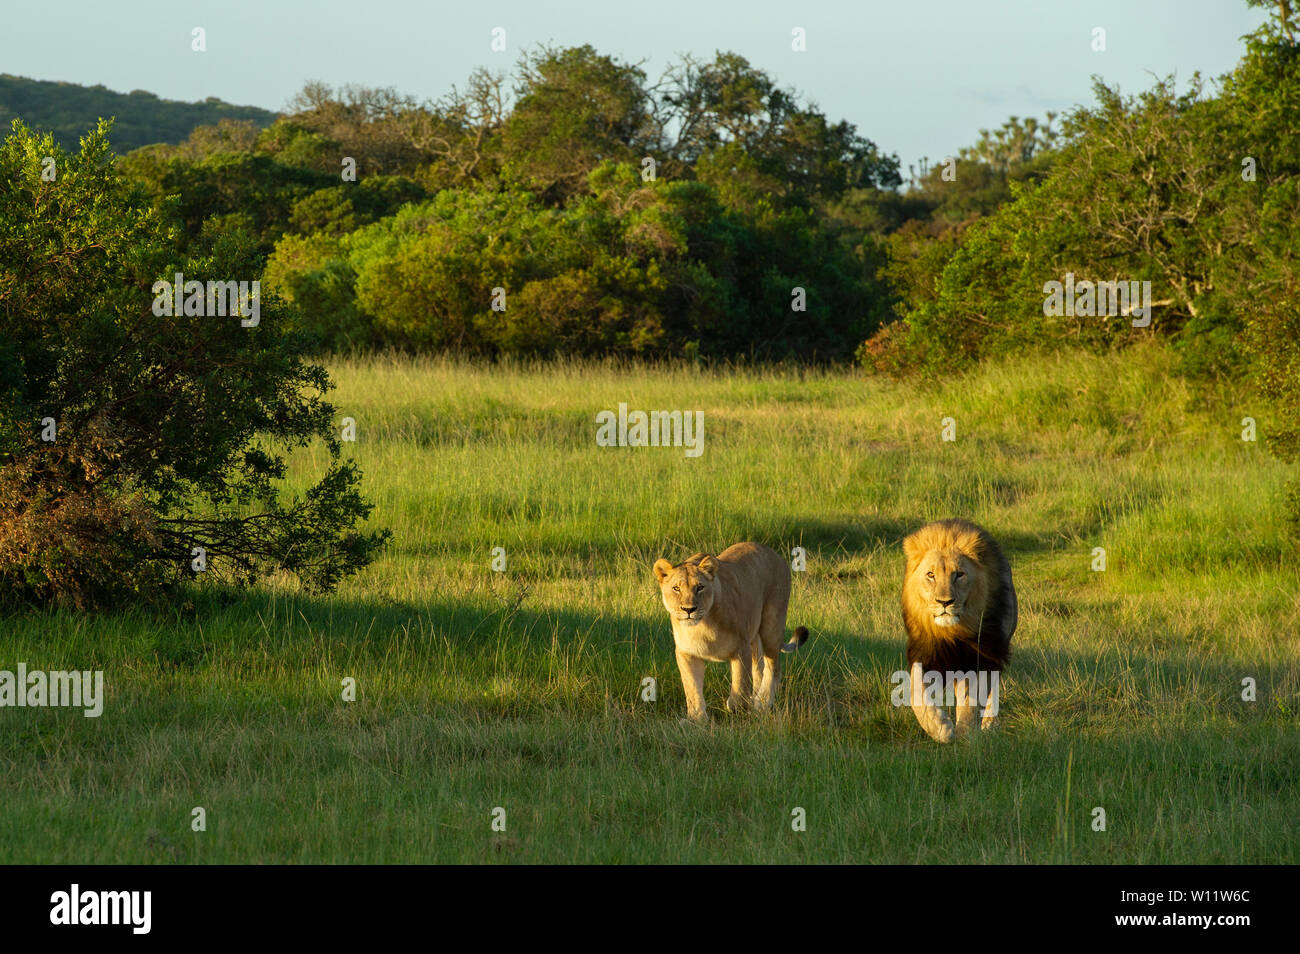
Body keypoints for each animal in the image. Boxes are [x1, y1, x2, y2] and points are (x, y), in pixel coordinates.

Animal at [653, 542, 809, 722]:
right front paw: (697, 719)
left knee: (773, 668)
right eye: (676, 588)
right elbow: (692, 689)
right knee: (759, 668)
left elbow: (740, 686)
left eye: (700, 587)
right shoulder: (686, 653)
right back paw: (756, 699)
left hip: (772, 626)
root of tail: (776, 555)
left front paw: (737, 708)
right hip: (754, 638)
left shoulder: (741, 648)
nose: (689, 609)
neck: (701, 626)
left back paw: (761, 704)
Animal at [901, 518, 1017, 743]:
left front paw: (966, 732)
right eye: (931, 574)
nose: (945, 602)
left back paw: (989, 724)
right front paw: (939, 728)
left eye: (959, 575)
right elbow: (915, 690)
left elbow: (970, 698)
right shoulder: (926, 652)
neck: (952, 632)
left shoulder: (978, 655)